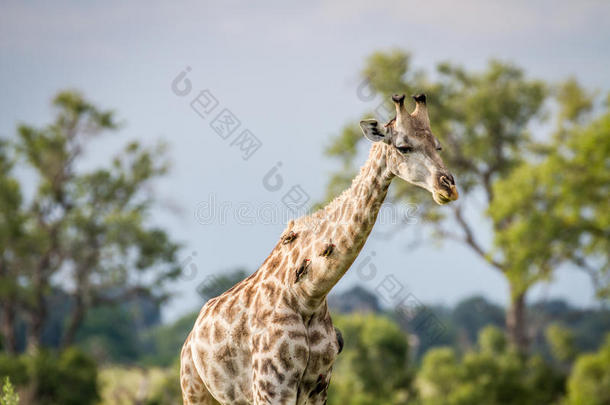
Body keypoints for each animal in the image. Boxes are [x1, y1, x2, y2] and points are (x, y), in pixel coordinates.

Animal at [179, 93, 456, 402]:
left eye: (438, 145)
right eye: (404, 147)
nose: (448, 187)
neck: (308, 295)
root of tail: (191, 336)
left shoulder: (319, 386)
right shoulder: (271, 387)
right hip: (194, 390)